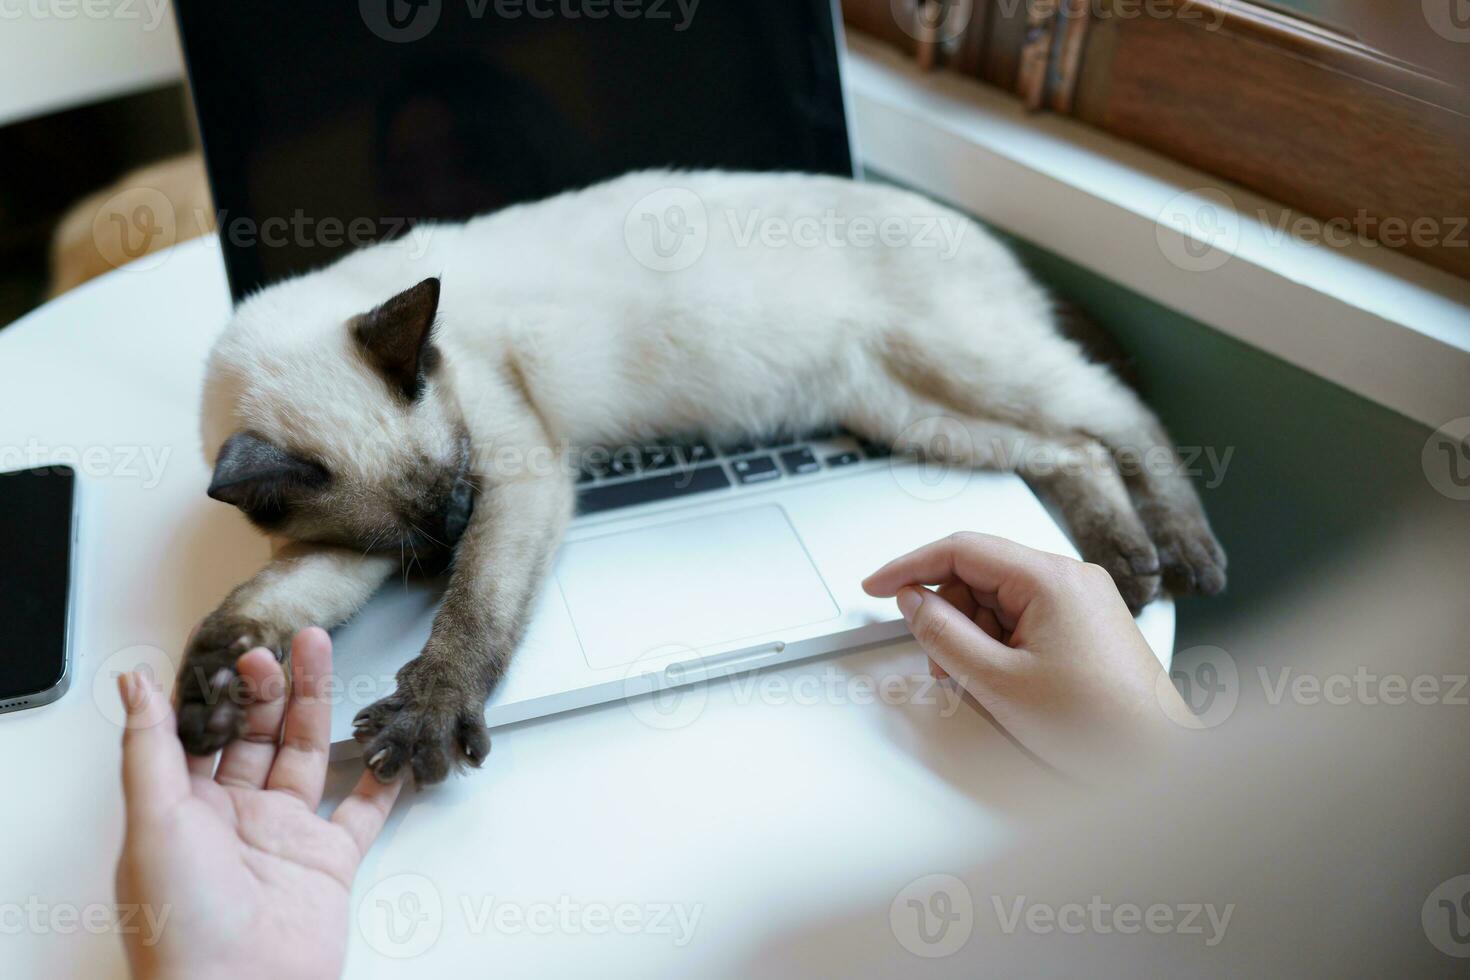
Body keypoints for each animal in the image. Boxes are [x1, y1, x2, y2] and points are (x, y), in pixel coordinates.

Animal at [183, 166, 1223, 781]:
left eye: (465, 480)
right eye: (416, 536)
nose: (447, 536)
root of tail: (979, 232)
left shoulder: (525, 476)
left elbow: (475, 613)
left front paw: (426, 720)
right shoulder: (349, 549)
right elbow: (259, 607)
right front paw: (212, 698)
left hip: (967, 364)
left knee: (1115, 416)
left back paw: (1180, 556)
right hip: (912, 411)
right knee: (1071, 447)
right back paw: (1126, 568)